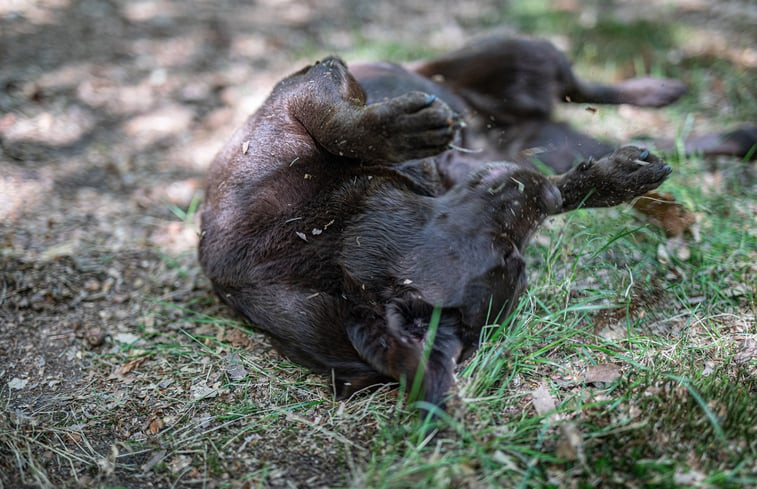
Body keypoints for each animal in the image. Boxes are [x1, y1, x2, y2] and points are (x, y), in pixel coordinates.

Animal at [198, 34, 752, 410]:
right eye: (513, 259)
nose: (544, 194)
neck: (320, 242)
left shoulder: (309, 95)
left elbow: (343, 126)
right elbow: (344, 126)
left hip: (521, 52)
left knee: (583, 86)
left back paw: (659, 91)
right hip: (552, 131)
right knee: (632, 131)